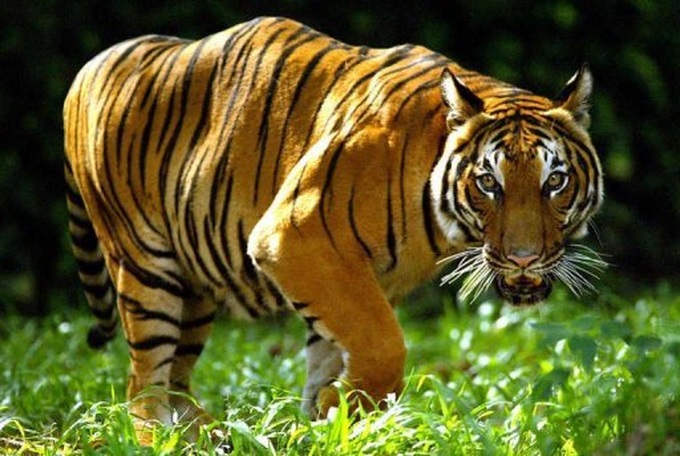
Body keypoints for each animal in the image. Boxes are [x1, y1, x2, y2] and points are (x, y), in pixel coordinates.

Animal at [63, 16, 604, 441]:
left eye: (555, 181)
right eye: (489, 182)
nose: (522, 258)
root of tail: (91, 66)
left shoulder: (355, 277)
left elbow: (337, 349)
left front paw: (323, 423)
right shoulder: (297, 236)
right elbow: (384, 347)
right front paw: (337, 408)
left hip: (193, 287)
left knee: (176, 376)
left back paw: (206, 433)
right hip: (145, 269)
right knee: (143, 384)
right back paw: (160, 438)